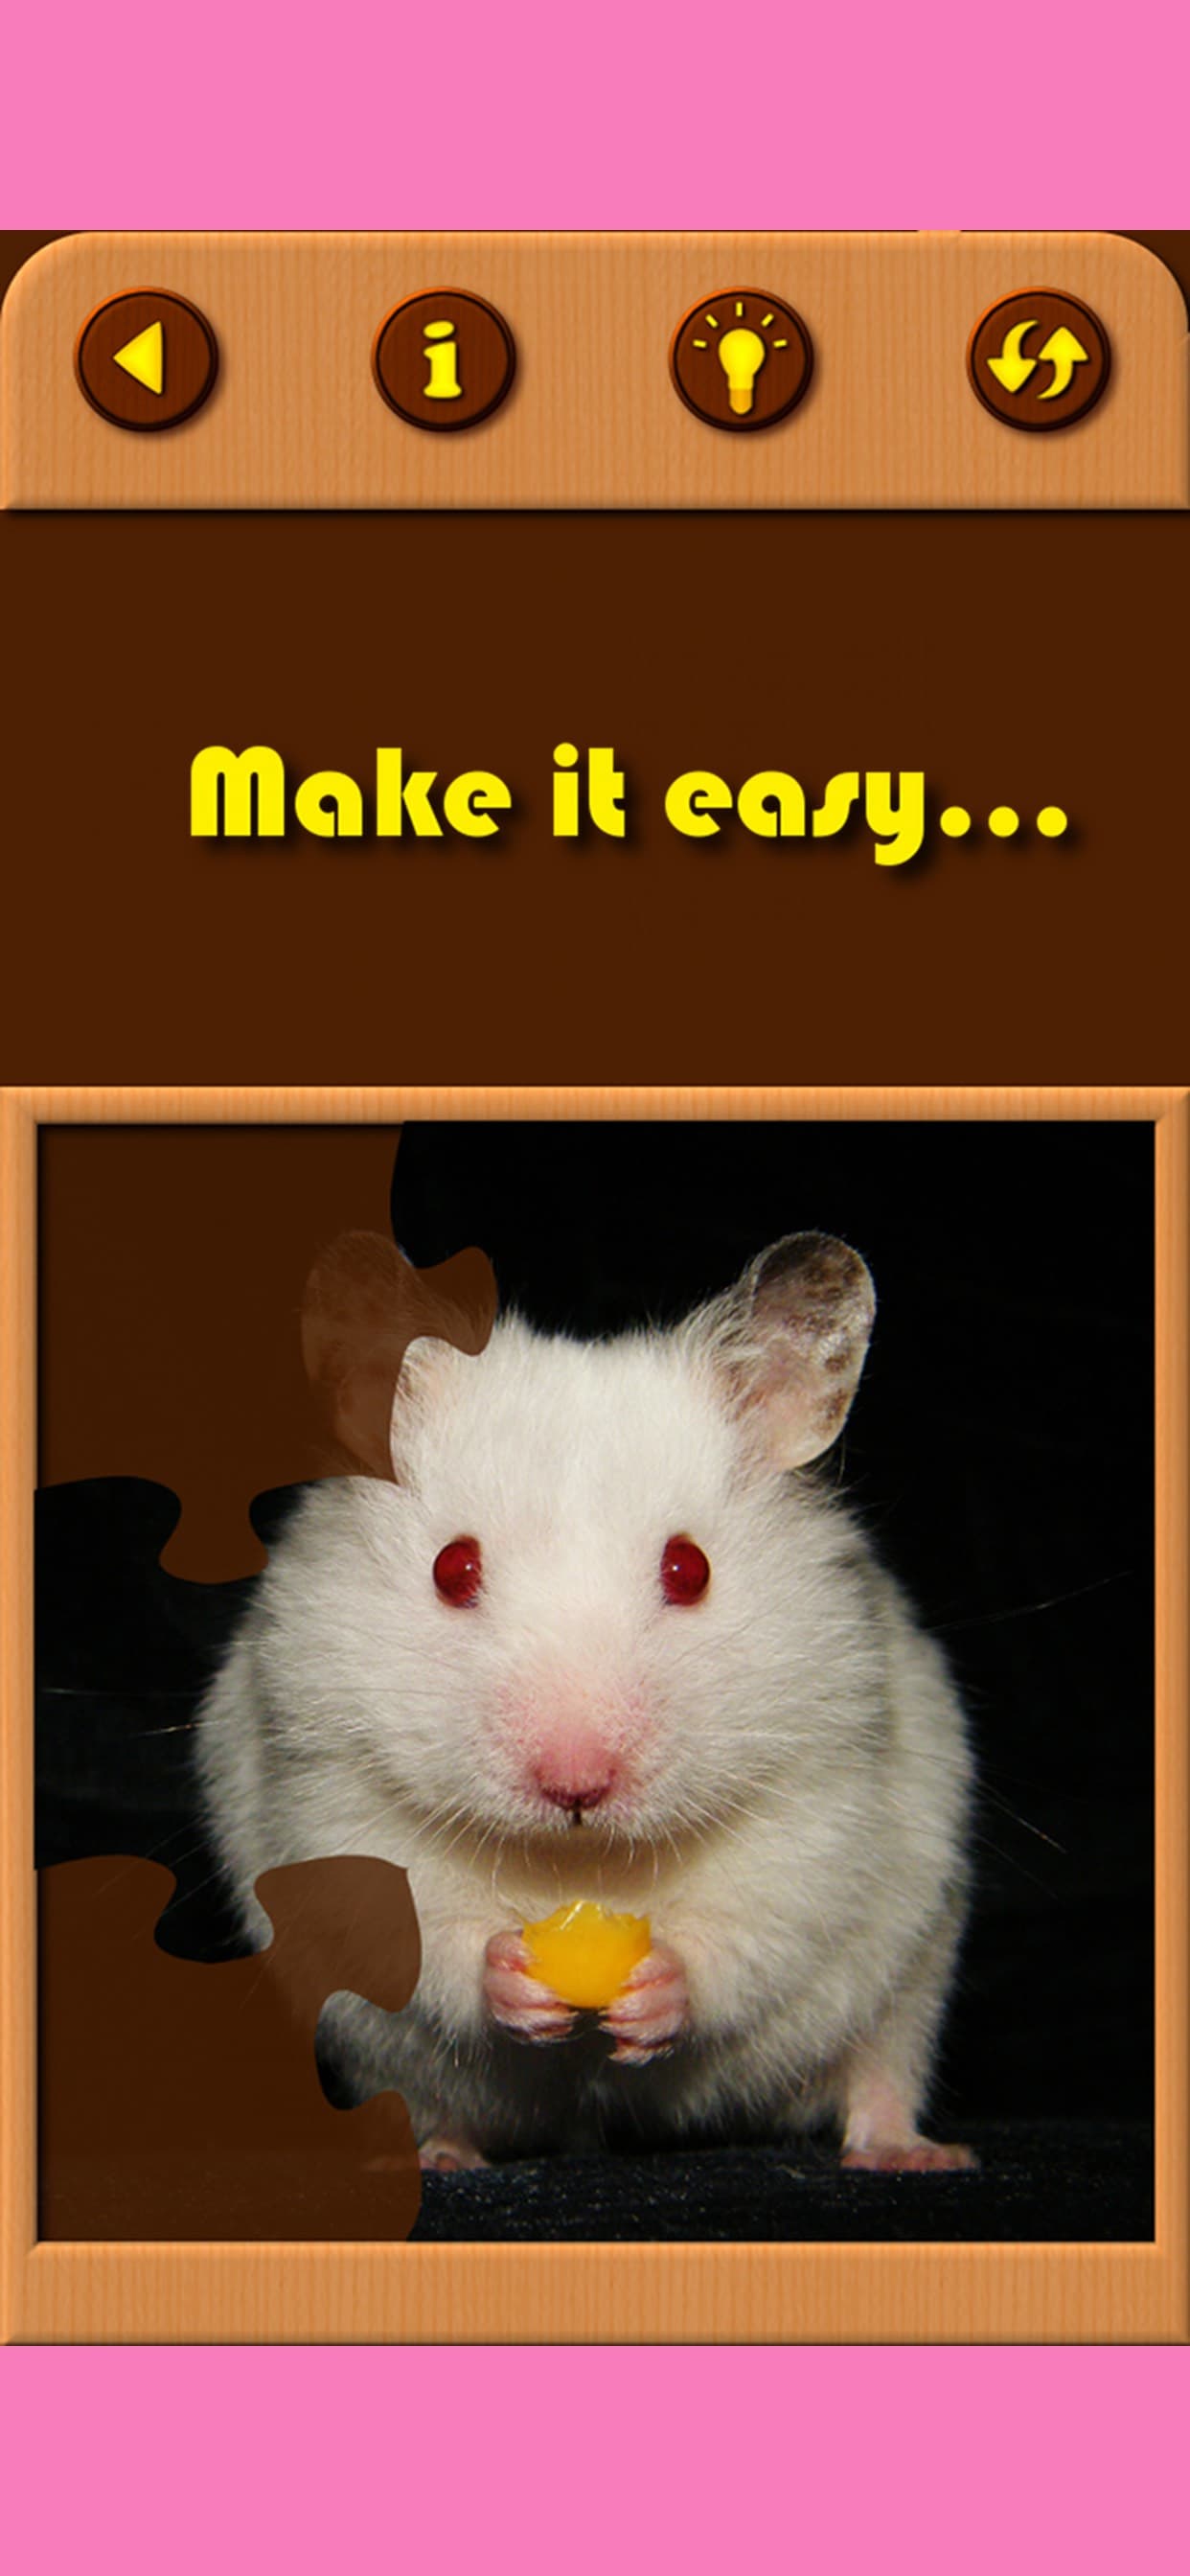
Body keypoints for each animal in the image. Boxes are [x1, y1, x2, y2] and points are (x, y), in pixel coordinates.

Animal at [196, 1232, 975, 2175]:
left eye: (690, 1567)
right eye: (452, 1568)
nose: (577, 1786)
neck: (578, 1861)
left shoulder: (830, 1765)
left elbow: (758, 1916)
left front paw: (656, 1989)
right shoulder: (322, 1765)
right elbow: (418, 1922)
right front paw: (511, 1977)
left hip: (915, 1971)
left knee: (880, 2066)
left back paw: (912, 2152)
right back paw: (440, 2156)